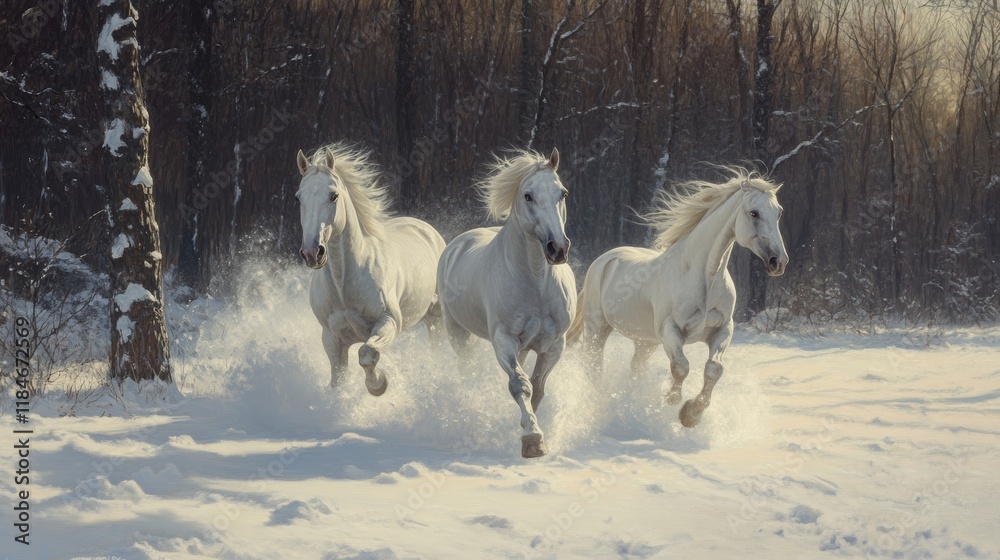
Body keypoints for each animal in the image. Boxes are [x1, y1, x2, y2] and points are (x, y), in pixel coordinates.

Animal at [295, 143, 446, 396]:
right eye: (299, 198)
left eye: (333, 195)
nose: (312, 253)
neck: (343, 284)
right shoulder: (332, 338)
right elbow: (338, 378)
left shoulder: (388, 322)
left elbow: (367, 353)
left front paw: (379, 384)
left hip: (437, 317)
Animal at [437, 148, 575, 458]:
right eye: (528, 196)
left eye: (563, 193)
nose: (557, 249)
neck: (536, 284)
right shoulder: (504, 340)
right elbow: (520, 385)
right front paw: (532, 439)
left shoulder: (554, 346)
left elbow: (537, 389)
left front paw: (528, 429)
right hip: (457, 333)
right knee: (465, 369)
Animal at [567, 166, 788, 428]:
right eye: (754, 213)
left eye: (778, 212)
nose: (778, 262)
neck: (704, 278)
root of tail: (604, 260)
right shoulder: (670, 329)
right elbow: (681, 366)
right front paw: (673, 400)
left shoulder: (723, 329)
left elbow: (714, 368)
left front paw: (692, 414)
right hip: (597, 328)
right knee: (593, 365)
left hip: (645, 341)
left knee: (635, 368)